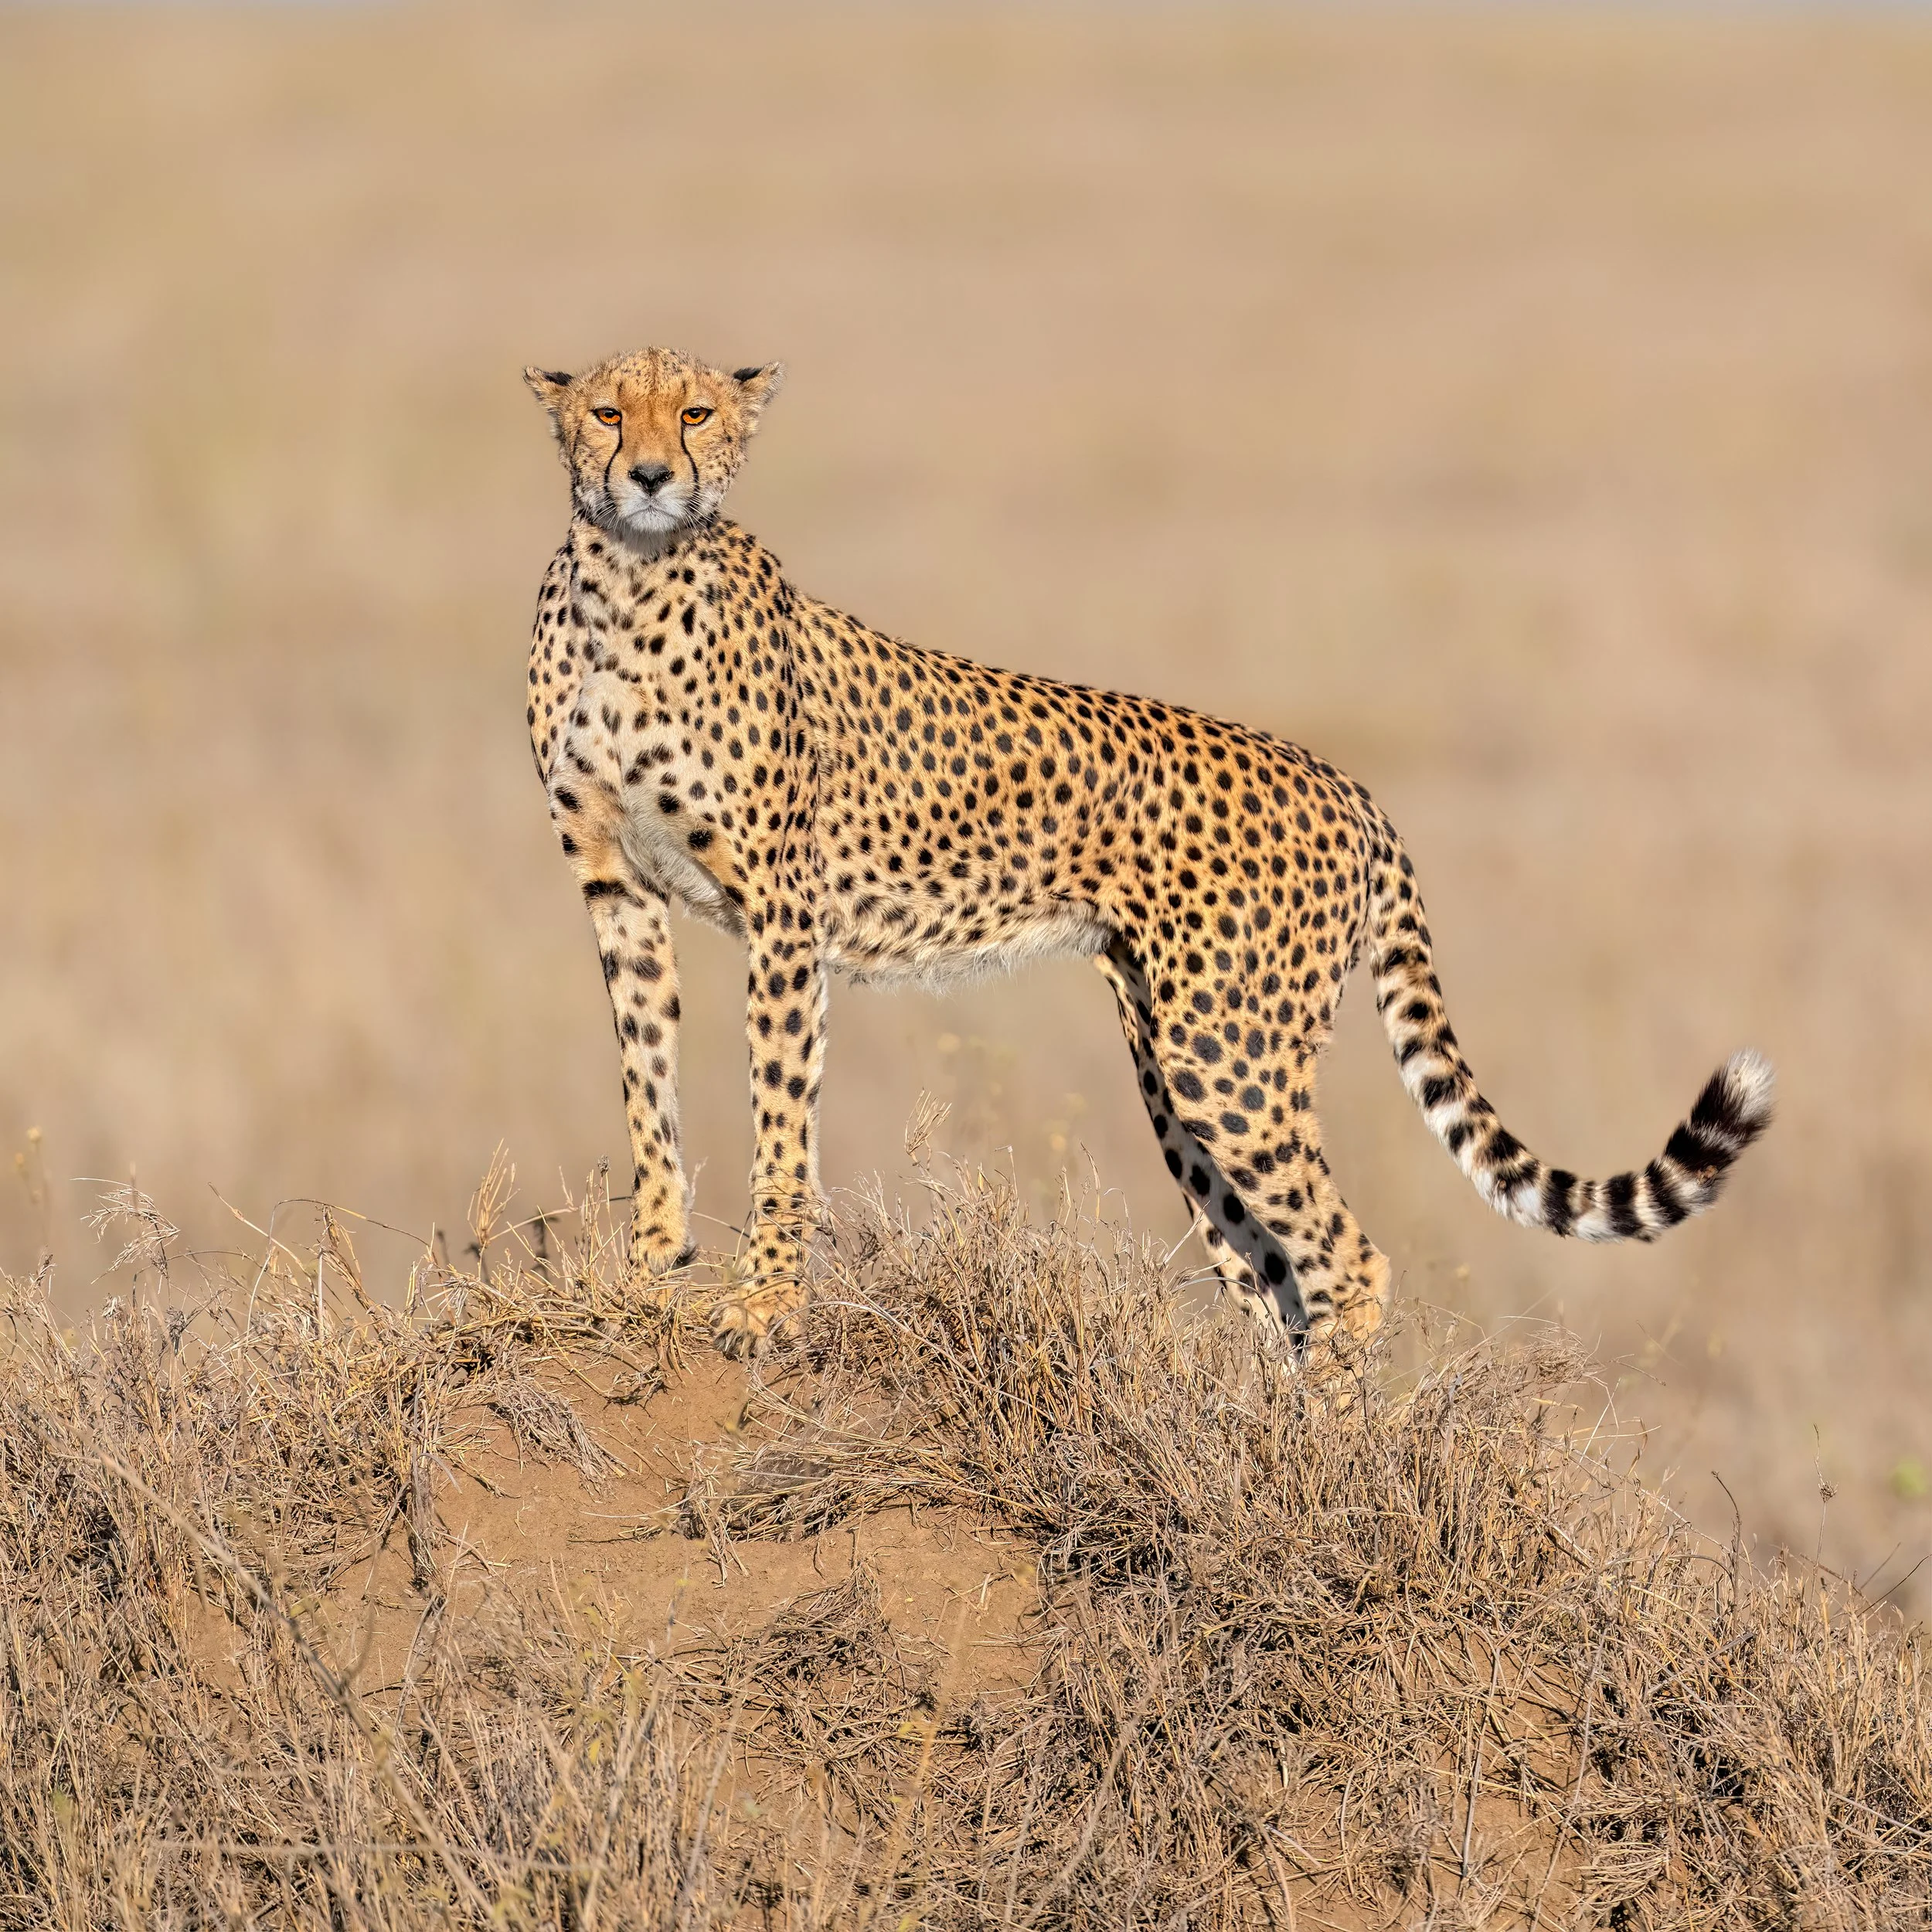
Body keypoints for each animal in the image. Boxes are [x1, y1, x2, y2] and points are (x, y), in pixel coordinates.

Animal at [523, 344, 1773, 1359]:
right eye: (604, 413)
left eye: (693, 414)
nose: (649, 476)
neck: (626, 588)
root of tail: (1348, 785)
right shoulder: (616, 889)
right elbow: (648, 1084)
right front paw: (650, 1268)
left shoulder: (786, 915)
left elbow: (780, 1116)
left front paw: (766, 1303)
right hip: (1179, 1062)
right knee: (1273, 1276)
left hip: (1228, 1052)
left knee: (1344, 1265)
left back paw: (1312, 1483)